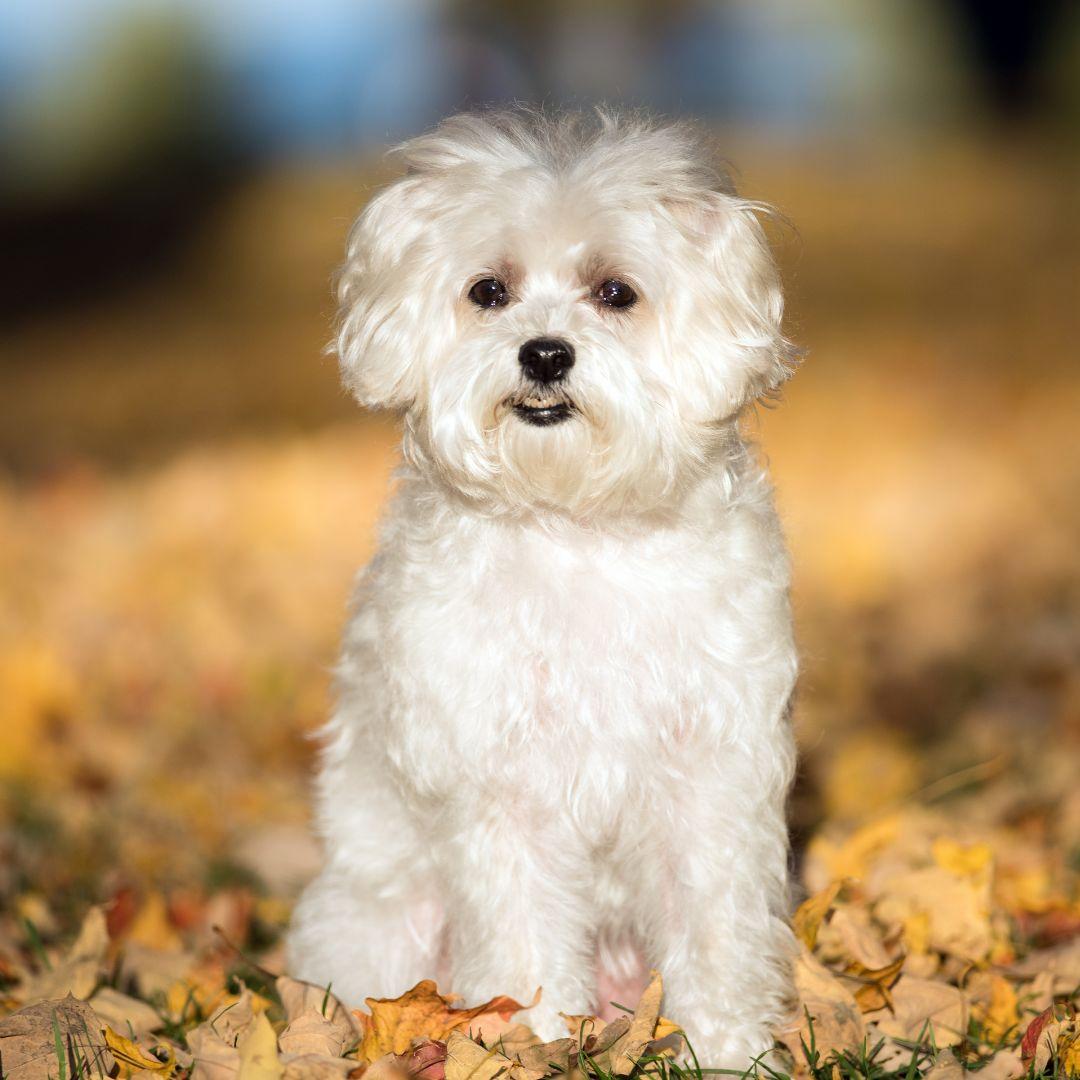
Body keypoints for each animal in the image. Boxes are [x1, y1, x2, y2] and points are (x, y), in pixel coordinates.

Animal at [289, 109, 803, 1071]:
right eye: (488, 291)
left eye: (616, 293)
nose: (546, 354)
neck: (576, 525)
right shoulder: (504, 793)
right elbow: (523, 941)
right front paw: (530, 1046)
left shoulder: (707, 780)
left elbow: (714, 929)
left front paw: (725, 1051)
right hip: (383, 923)